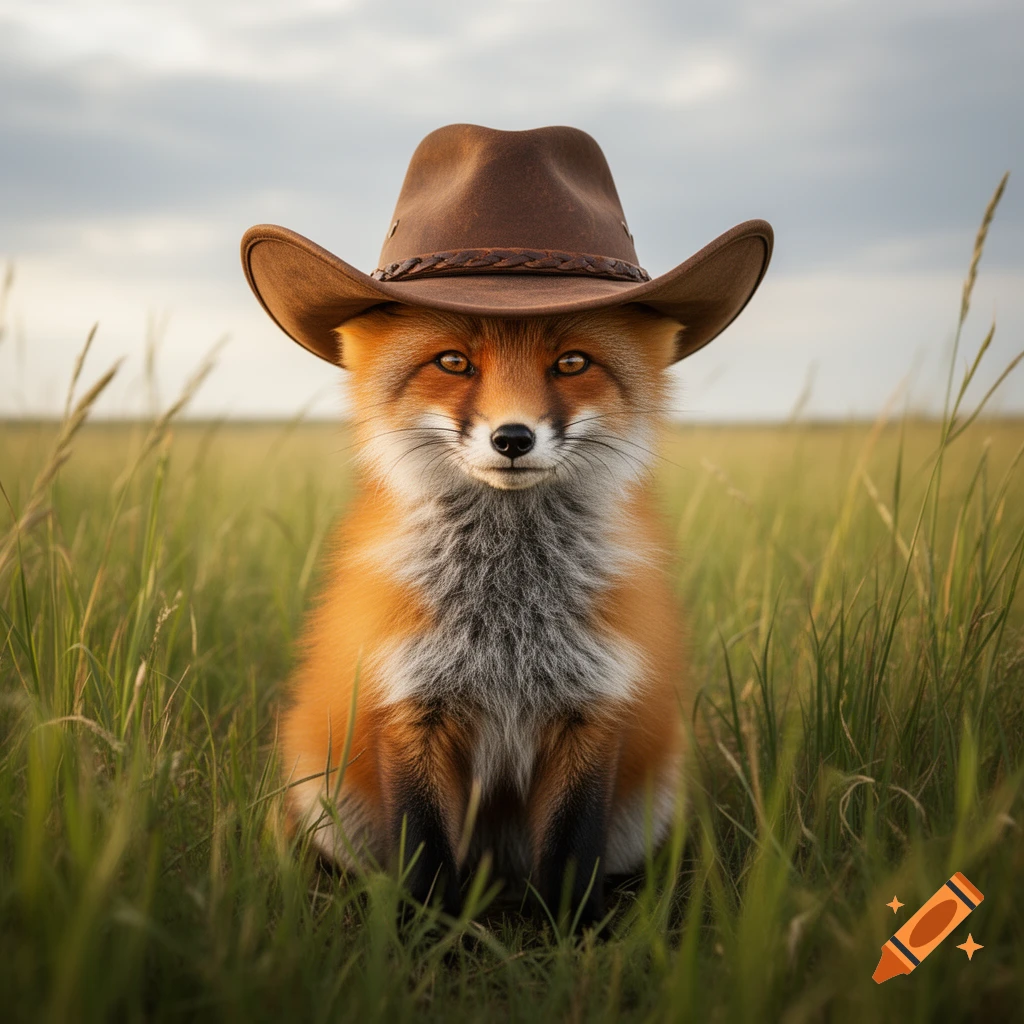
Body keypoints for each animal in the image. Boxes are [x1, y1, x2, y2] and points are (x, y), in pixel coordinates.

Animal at [279, 301, 688, 929]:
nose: (513, 438)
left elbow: (571, 854)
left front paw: (576, 939)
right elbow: (424, 854)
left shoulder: (591, 709)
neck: (507, 620)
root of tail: (499, 877)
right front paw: (424, 937)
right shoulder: (411, 705)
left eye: (572, 362)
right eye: (453, 362)